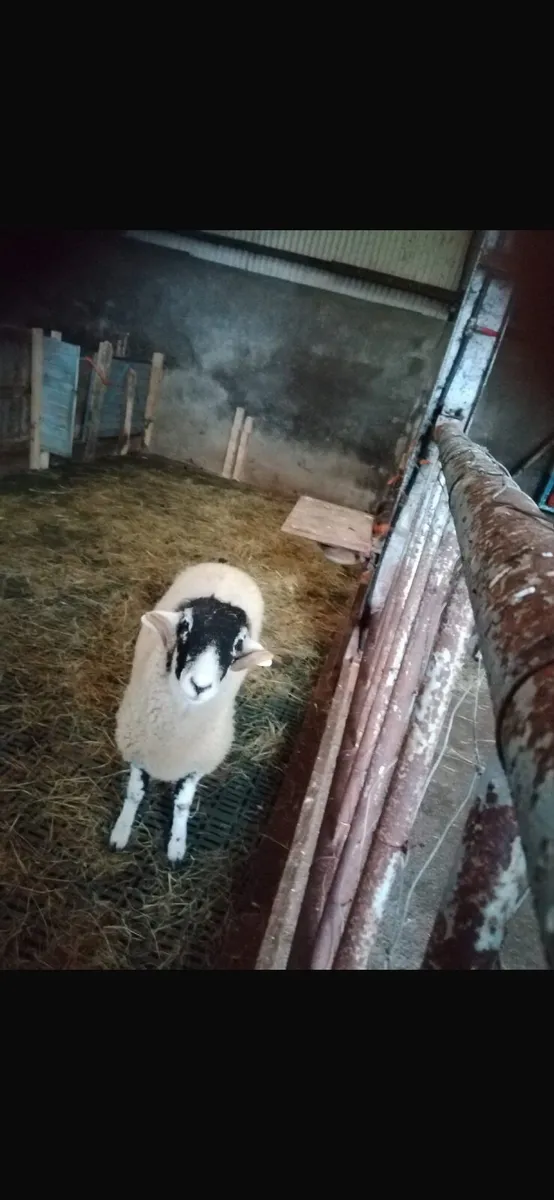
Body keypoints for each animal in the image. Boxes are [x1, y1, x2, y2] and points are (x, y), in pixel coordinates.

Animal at [110, 561, 272, 864]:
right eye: (184, 628)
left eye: (237, 644)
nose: (200, 686)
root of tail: (227, 566)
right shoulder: (138, 749)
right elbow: (135, 794)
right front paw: (121, 831)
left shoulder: (197, 763)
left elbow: (183, 804)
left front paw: (177, 845)